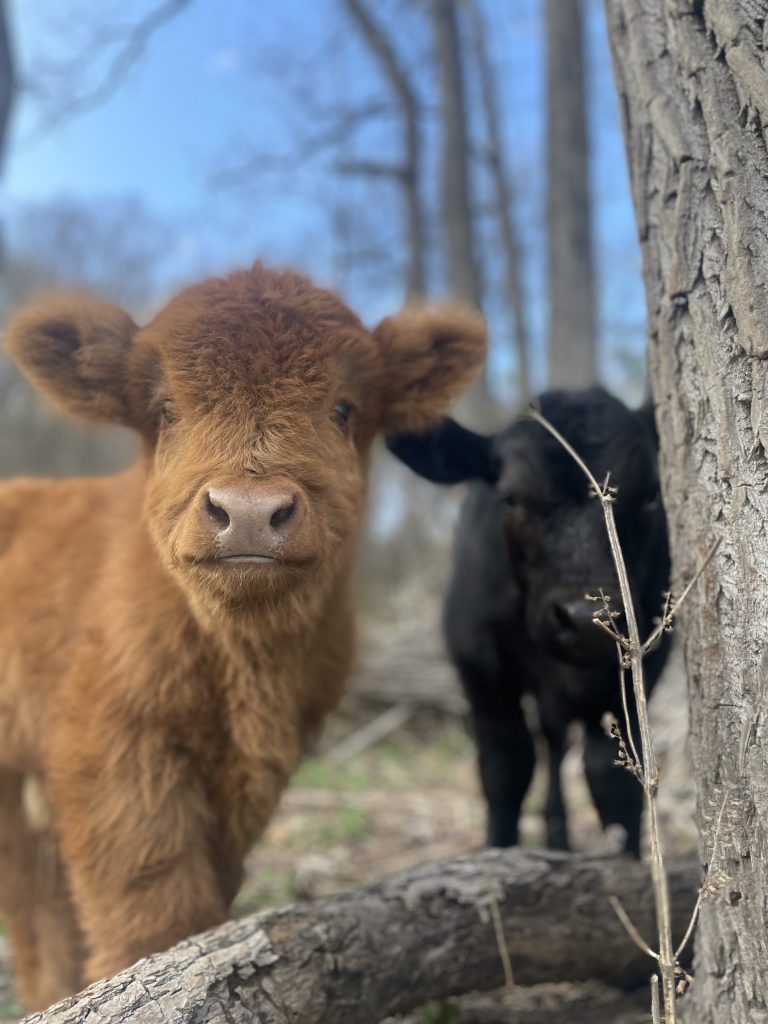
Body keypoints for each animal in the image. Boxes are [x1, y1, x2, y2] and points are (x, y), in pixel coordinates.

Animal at [0, 262, 486, 1009]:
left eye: (343, 408)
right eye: (165, 408)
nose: (251, 512)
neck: (244, 666)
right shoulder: (115, 756)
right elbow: (152, 902)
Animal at [387, 388, 670, 857]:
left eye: (650, 496)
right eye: (509, 497)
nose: (584, 618)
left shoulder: (636, 671)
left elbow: (612, 778)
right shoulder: (481, 669)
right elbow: (507, 767)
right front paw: (499, 853)